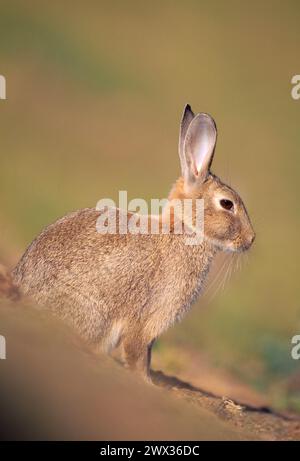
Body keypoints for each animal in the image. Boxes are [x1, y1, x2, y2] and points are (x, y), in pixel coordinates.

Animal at [12, 105, 255, 380]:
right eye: (227, 204)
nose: (251, 239)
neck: (184, 230)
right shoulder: (148, 318)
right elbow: (138, 353)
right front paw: (147, 383)